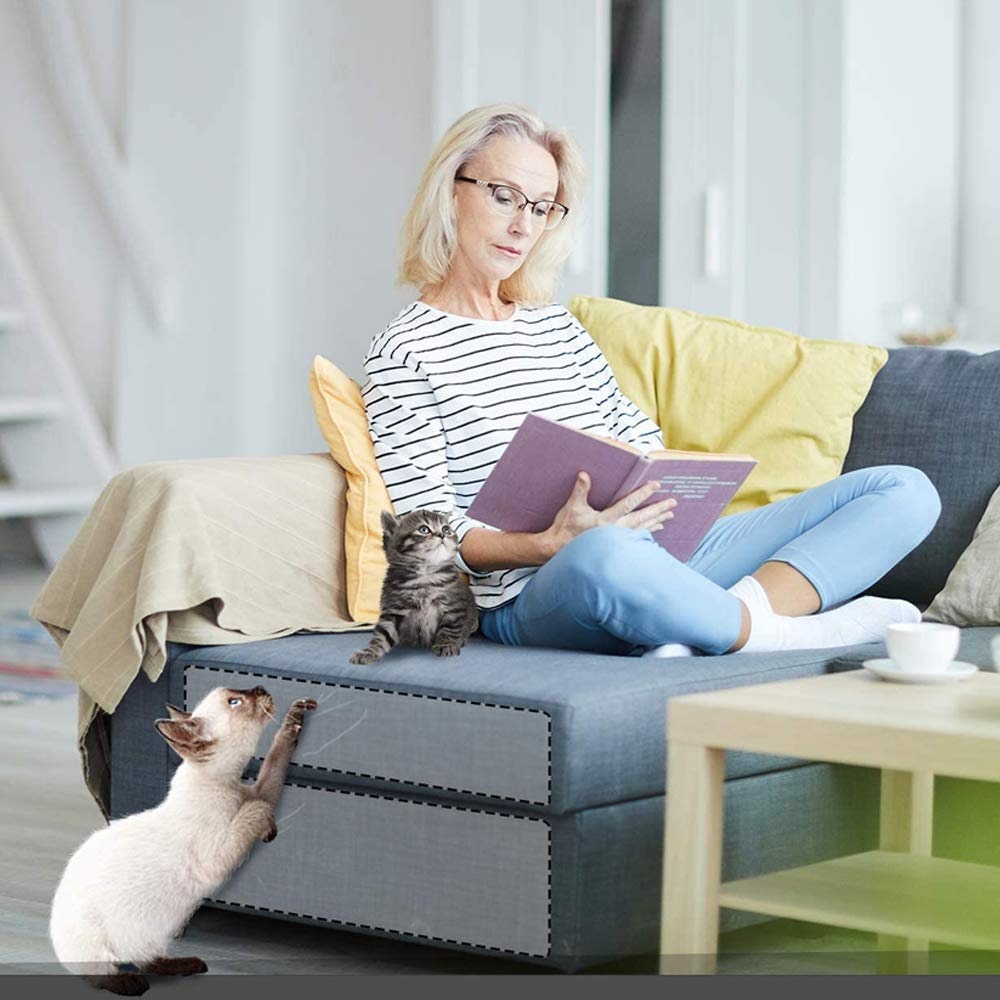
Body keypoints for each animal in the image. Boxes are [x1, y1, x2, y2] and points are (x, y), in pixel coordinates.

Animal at [49, 688, 316, 992]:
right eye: (235, 702)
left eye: (240, 695)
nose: (261, 688)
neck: (229, 786)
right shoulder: (219, 854)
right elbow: (256, 809)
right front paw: (269, 828)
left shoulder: (260, 790)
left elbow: (274, 760)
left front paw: (296, 715)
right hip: (102, 945)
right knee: (103, 972)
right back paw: (132, 983)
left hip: (151, 936)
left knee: (147, 959)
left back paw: (188, 965)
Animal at [350, 508, 478, 664]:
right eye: (424, 529)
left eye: (446, 529)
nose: (442, 535)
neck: (425, 575)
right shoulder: (394, 610)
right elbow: (382, 635)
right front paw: (370, 651)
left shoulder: (454, 607)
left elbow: (449, 629)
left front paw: (446, 645)